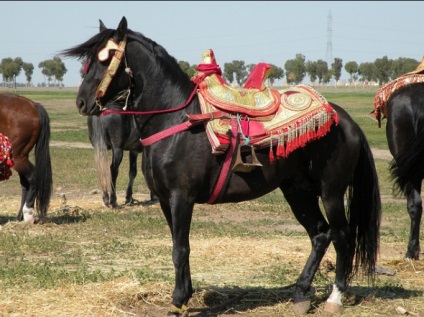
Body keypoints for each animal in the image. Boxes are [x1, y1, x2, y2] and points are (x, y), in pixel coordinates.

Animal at [0, 92, 52, 222]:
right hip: (22, 157)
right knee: (25, 183)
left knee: (33, 176)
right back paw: (20, 216)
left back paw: (28, 213)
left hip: (18, 157)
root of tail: (33, 105)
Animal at [62, 16, 380, 314]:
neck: (177, 120)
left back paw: (335, 298)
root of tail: (346, 121)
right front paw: (185, 296)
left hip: (331, 192)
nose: (81, 102)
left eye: (105, 58)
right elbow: (179, 247)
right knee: (320, 234)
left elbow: (180, 249)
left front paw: (178, 301)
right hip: (297, 191)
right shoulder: (165, 200)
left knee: (341, 236)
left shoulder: (181, 198)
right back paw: (301, 294)